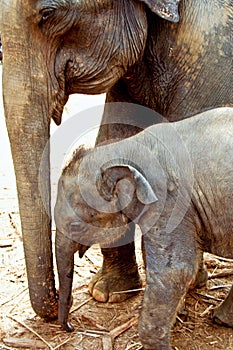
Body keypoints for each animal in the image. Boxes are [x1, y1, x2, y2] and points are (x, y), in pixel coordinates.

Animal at [0, 0, 232, 320]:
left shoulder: (211, 50)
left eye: (48, 14)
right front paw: (108, 293)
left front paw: (187, 288)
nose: (60, 303)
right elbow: (112, 137)